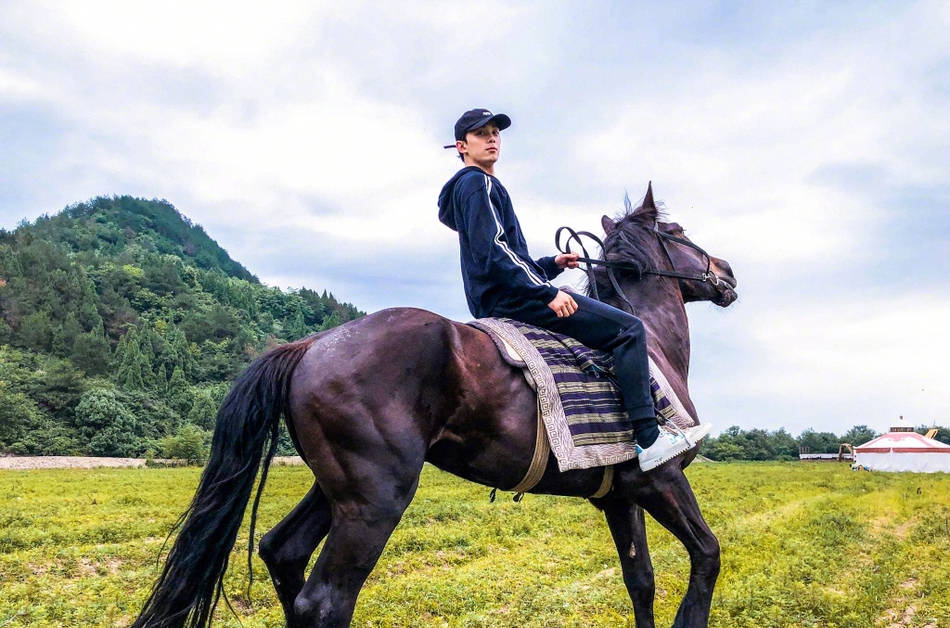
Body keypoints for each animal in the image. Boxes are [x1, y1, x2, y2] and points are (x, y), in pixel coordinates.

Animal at [134, 184, 740, 624]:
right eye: (677, 231)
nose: (727, 271)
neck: (650, 343)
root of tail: (311, 345)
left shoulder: (619, 496)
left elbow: (641, 583)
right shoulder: (660, 479)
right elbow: (707, 556)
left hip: (338, 489)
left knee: (283, 554)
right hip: (376, 499)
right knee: (324, 600)